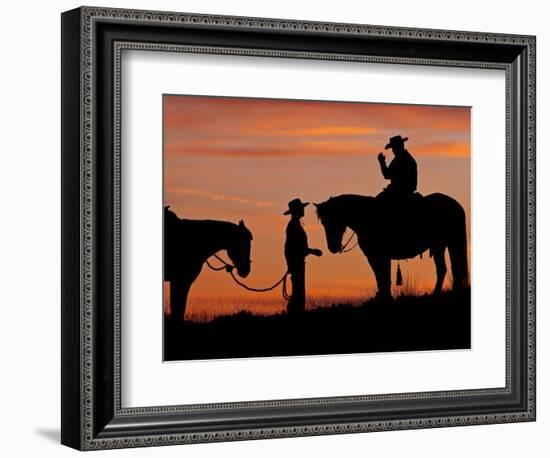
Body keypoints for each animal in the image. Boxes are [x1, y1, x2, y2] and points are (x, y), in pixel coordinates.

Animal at [314, 192, 470, 296]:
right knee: (451, 268)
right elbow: (381, 278)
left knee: (445, 269)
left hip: (443, 245)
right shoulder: (375, 257)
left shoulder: (379, 256)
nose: (332, 247)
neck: (367, 216)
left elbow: (383, 278)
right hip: (444, 245)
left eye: (333, 219)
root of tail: (456, 205)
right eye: (323, 222)